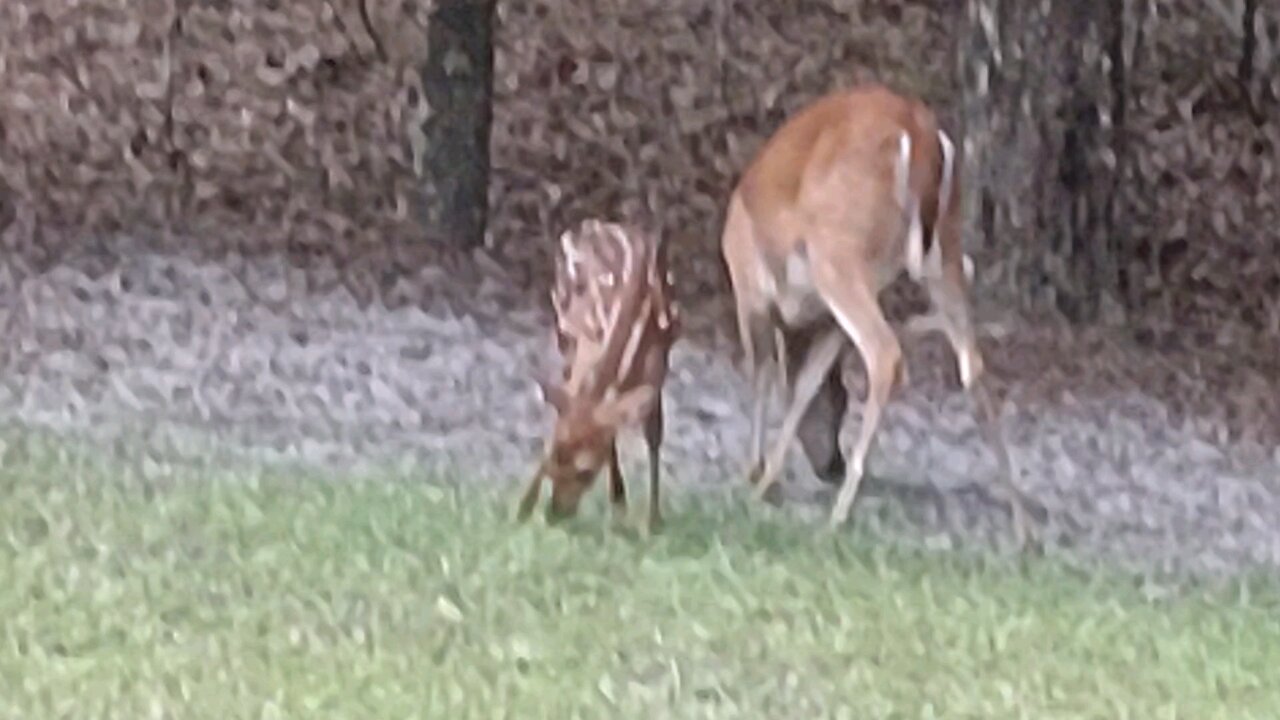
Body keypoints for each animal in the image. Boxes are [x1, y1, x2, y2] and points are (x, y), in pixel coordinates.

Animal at [517, 215, 686, 530]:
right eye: (553, 456)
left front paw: (652, 520)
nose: (555, 513)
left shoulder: (658, 362)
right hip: (564, 334)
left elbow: (653, 433)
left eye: (586, 472)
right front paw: (524, 507)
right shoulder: (580, 344)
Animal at [727, 81, 1034, 540]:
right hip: (945, 249)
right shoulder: (829, 321)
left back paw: (839, 515)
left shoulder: (749, 288)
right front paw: (766, 479)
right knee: (972, 364)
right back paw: (1022, 528)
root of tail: (918, 130)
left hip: (838, 252)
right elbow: (806, 382)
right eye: (838, 407)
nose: (832, 466)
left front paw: (756, 474)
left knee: (885, 355)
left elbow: (763, 373)